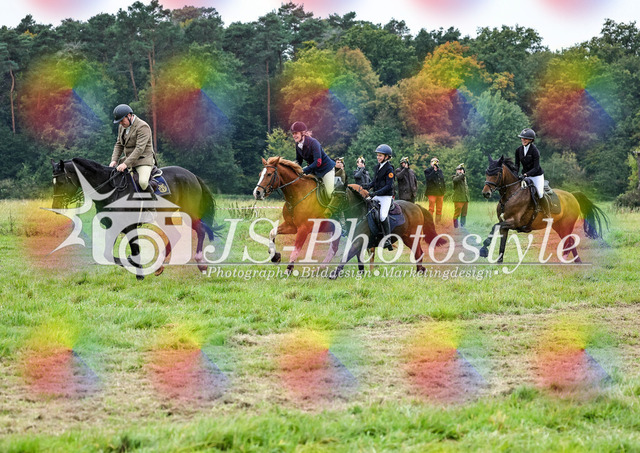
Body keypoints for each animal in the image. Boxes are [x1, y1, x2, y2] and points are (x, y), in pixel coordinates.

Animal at [51, 157, 218, 278]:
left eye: (61, 182)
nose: (55, 206)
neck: (110, 189)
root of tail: (192, 175)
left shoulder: (130, 226)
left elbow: (134, 250)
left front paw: (139, 271)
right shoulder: (112, 226)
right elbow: (108, 254)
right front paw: (137, 267)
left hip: (189, 212)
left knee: (200, 230)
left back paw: (201, 263)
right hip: (166, 215)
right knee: (175, 235)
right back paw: (159, 267)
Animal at [480, 155, 608, 263]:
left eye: (496, 174)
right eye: (486, 172)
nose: (486, 193)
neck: (510, 195)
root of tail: (572, 195)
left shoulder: (513, 222)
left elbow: (494, 227)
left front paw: (484, 248)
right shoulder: (504, 224)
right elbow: (502, 244)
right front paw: (499, 262)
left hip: (566, 225)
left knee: (570, 241)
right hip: (558, 226)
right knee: (570, 241)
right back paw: (576, 261)